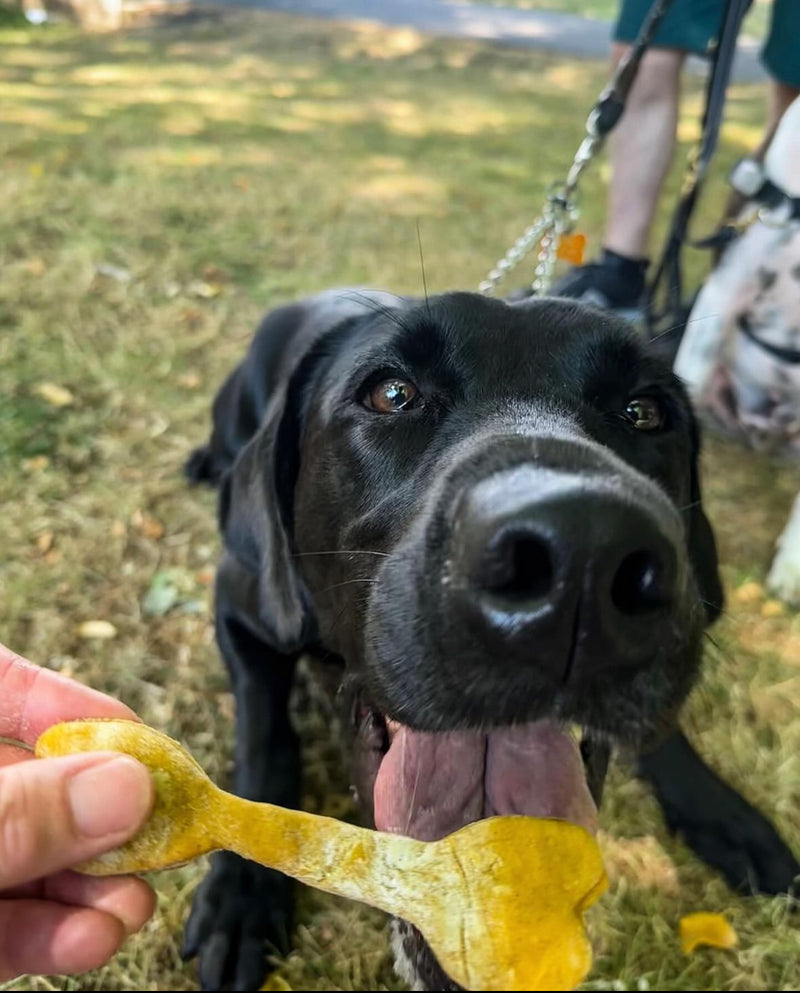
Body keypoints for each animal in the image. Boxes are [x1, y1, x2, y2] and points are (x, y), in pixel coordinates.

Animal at [180, 290, 792, 988]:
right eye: (391, 393)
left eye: (644, 411)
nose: (583, 551)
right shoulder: (238, 601)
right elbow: (265, 737)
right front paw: (243, 890)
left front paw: (724, 815)